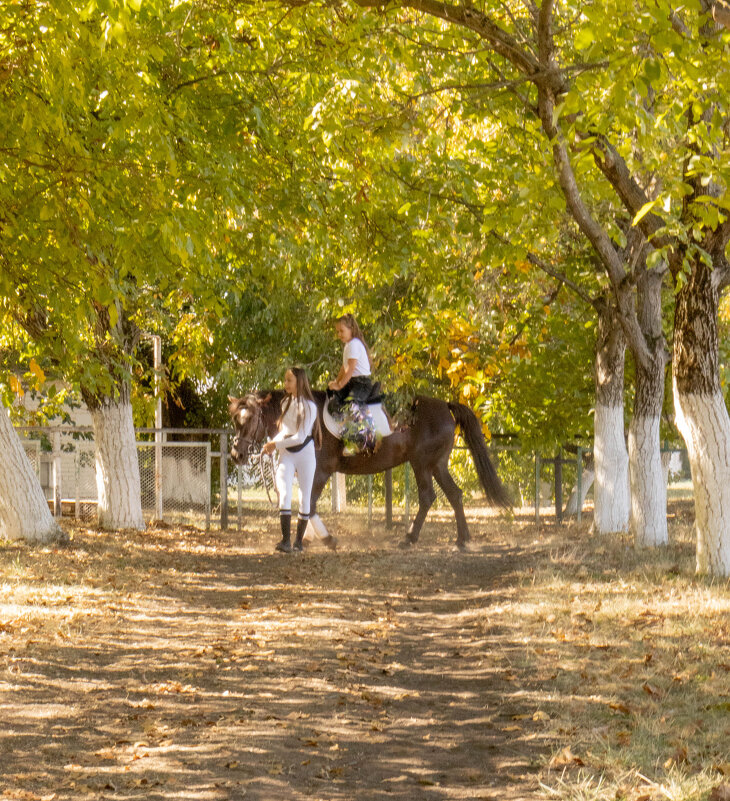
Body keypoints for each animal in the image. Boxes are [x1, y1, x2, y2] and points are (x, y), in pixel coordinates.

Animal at [230, 390, 510, 552]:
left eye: (250, 419)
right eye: (235, 419)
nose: (237, 454)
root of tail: (445, 406)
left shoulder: (321, 471)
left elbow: (310, 503)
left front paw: (325, 539)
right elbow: (307, 504)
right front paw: (312, 538)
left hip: (421, 464)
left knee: (428, 497)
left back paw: (410, 538)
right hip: (436, 464)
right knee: (454, 494)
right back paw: (462, 539)